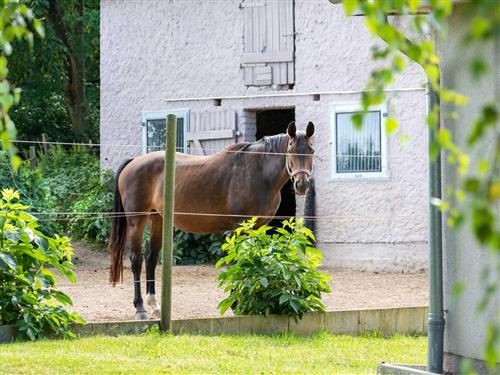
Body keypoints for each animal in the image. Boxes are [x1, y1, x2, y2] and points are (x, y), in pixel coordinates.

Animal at [109, 121, 314, 320]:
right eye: (291, 149)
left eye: (311, 150)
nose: (302, 184)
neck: (257, 171)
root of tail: (134, 161)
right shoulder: (240, 226)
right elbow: (241, 259)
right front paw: (237, 302)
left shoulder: (257, 227)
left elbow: (255, 256)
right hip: (137, 221)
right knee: (136, 260)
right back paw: (140, 308)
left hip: (158, 220)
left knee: (151, 258)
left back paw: (155, 306)